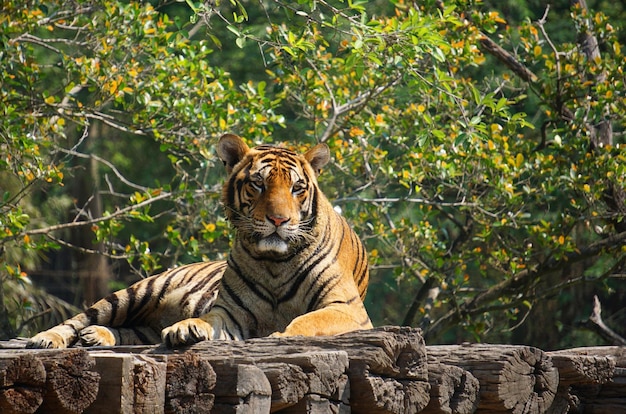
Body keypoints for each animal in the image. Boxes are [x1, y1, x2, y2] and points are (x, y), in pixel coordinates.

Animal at [26, 134, 370, 348]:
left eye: (297, 188)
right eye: (258, 184)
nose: (278, 220)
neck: (274, 262)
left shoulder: (347, 310)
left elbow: (305, 321)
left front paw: (280, 337)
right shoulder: (231, 313)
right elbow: (208, 318)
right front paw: (187, 328)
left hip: (144, 320)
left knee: (135, 332)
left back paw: (95, 337)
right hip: (135, 294)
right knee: (79, 319)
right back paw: (49, 338)